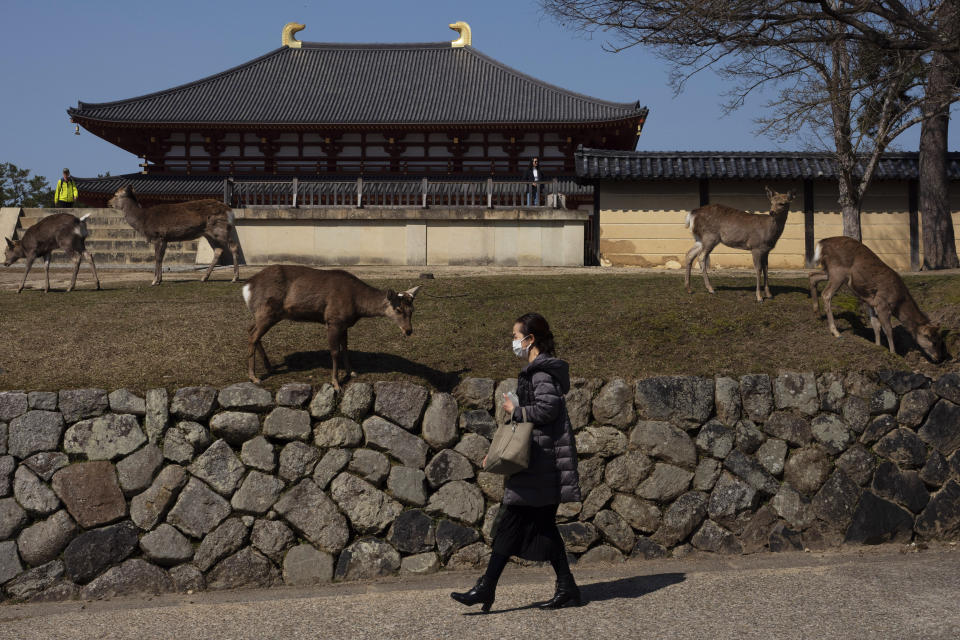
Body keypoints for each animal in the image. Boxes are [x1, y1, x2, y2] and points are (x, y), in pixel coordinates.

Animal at [105, 185, 238, 284]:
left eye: (116, 194)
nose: (108, 202)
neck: (142, 221)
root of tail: (230, 211)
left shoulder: (157, 236)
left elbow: (157, 257)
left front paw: (154, 281)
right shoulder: (165, 239)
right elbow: (161, 257)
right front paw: (160, 280)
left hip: (221, 229)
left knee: (233, 246)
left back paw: (235, 278)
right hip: (209, 234)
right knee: (218, 250)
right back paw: (204, 277)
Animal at [244, 264, 420, 390]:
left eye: (412, 309)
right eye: (398, 309)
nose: (408, 330)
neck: (357, 305)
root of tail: (247, 286)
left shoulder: (344, 323)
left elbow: (346, 348)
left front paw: (352, 372)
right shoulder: (333, 320)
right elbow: (335, 352)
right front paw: (336, 384)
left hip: (263, 314)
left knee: (251, 330)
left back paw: (269, 368)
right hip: (267, 311)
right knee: (253, 336)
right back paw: (254, 377)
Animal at [808, 236, 944, 364]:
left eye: (940, 340)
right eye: (934, 341)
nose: (938, 358)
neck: (898, 302)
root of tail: (821, 244)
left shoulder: (871, 303)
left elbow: (875, 326)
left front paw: (878, 346)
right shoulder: (883, 304)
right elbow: (888, 329)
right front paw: (893, 353)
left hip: (829, 271)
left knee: (812, 276)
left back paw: (817, 314)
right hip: (838, 272)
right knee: (826, 294)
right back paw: (835, 331)